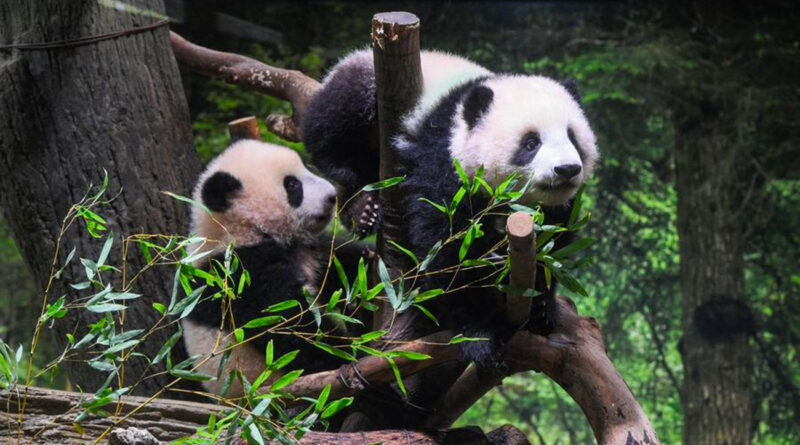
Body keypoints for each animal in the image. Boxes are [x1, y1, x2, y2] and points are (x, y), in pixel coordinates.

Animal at [181, 139, 368, 397]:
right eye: (292, 185)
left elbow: (342, 265)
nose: (332, 196)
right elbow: (289, 329)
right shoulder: (240, 276)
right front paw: (351, 357)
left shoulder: (309, 251)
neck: (242, 230)